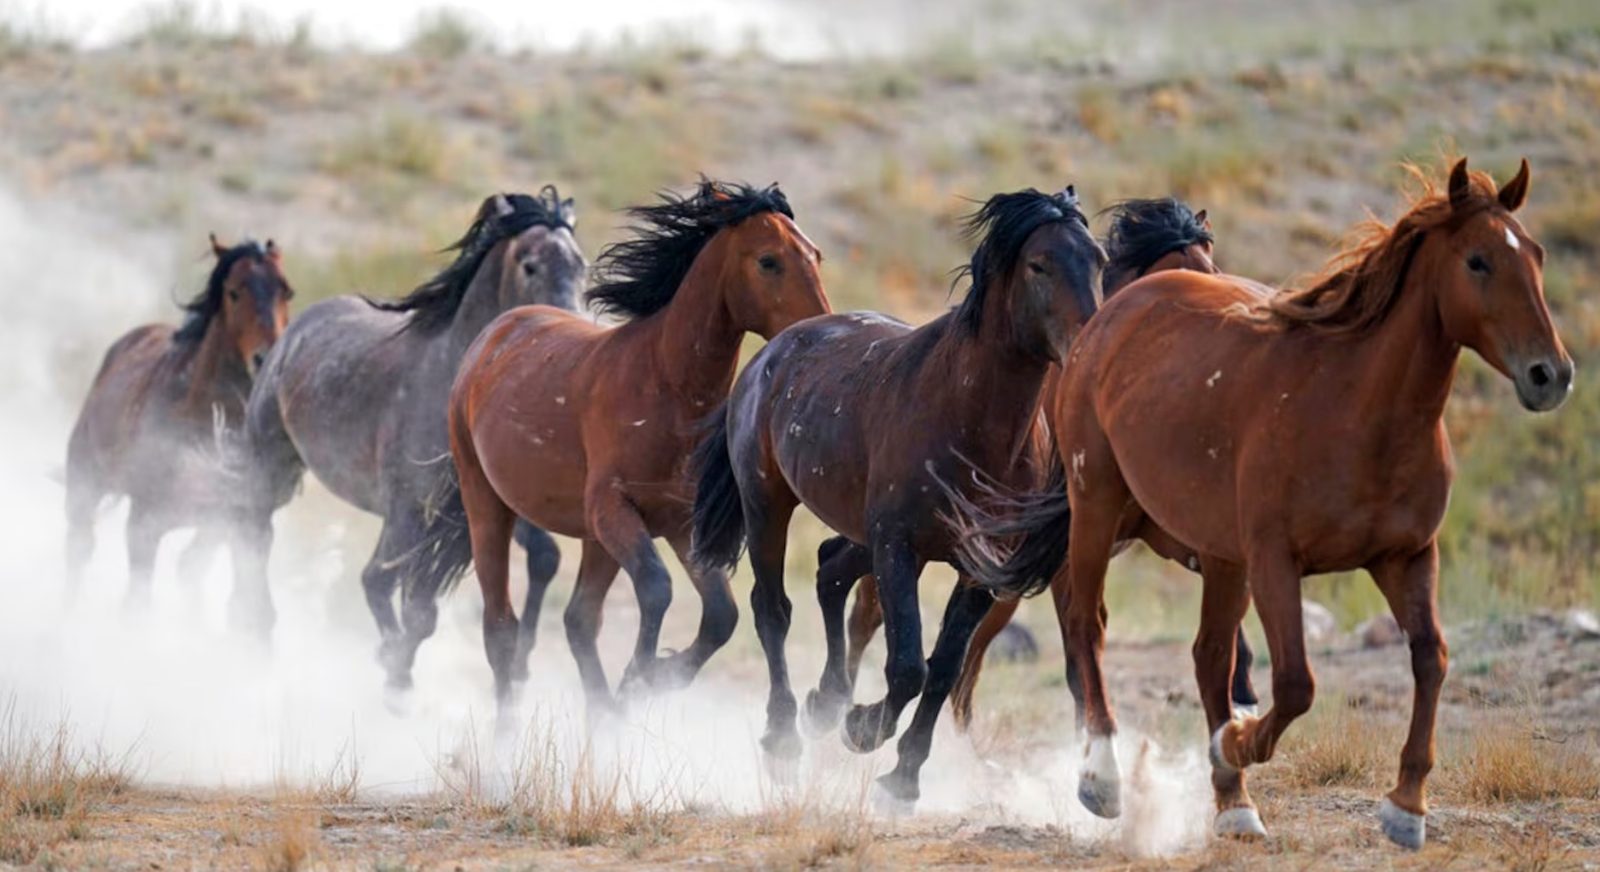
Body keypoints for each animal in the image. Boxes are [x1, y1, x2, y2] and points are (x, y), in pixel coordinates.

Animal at [66, 236, 292, 607]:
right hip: (83, 486)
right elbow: (137, 600)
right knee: (78, 548)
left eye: (287, 292)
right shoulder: (144, 522)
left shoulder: (239, 526)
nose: (266, 358)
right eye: (234, 292)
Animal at [234, 188, 583, 694]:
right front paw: (395, 675)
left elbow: (434, 607)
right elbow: (394, 594)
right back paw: (257, 627)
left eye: (582, 265)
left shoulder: (465, 517)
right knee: (258, 539)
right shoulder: (410, 510)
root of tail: (297, 328)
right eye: (530, 265)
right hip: (270, 464)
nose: (572, 331)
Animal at [443, 180, 828, 710]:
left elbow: (720, 615)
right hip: (488, 504)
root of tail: (495, 334)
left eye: (815, 253)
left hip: (593, 539)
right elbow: (656, 588)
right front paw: (638, 676)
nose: (821, 327)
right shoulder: (615, 509)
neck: (665, 385)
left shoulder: (680, 524)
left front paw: (653, 677)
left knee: (579, 621)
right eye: (769, 260)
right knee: (501, 627)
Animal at [691, 186, 1105, 807]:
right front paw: (864, 730)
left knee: (829, 570)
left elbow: (944, 666)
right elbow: (908, 666)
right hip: (768, 505)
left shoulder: (980, 566)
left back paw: (825, 702)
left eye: (1099, 260)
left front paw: (901, 774)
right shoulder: (899, 548)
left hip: (858, 530)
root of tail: (772, 351)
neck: (968, 423)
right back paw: (785, 737)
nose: (1087, 348)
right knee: (773, 609)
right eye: (1039, 264)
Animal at [950, 159, 1570, 849]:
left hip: (1217, 557)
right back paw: (1104, 780)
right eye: (1479, 261)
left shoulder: (1406, 557)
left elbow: (1429, 658)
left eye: (1536, 255)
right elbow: (1296, 682)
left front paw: (1406, 807)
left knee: (1206, 655)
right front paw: (1235, 745)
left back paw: (1234, 806)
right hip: (1097, 507)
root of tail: (1102, 326)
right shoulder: (1275, 560)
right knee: (1087, 628)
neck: (1357, 408)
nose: (1550, 374)